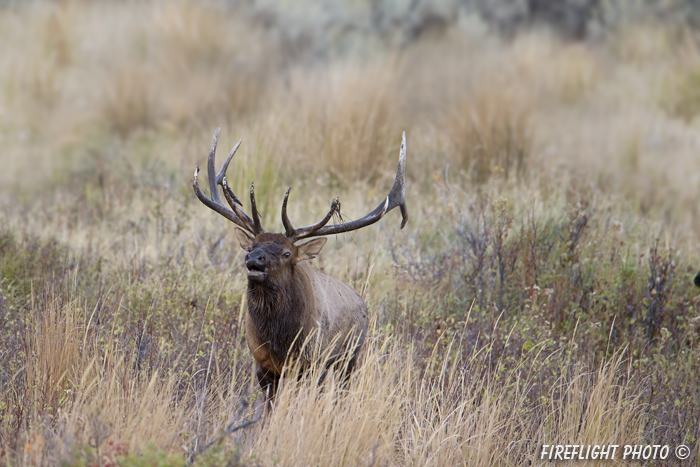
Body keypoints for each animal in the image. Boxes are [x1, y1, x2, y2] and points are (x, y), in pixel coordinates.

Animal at [194, 129, 408, 402]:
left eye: (287, 253)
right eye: (251, 248)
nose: (254, 260)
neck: (279, 338)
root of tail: (361, 301)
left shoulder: (312, 361)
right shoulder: (262, 364)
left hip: (350, 355)